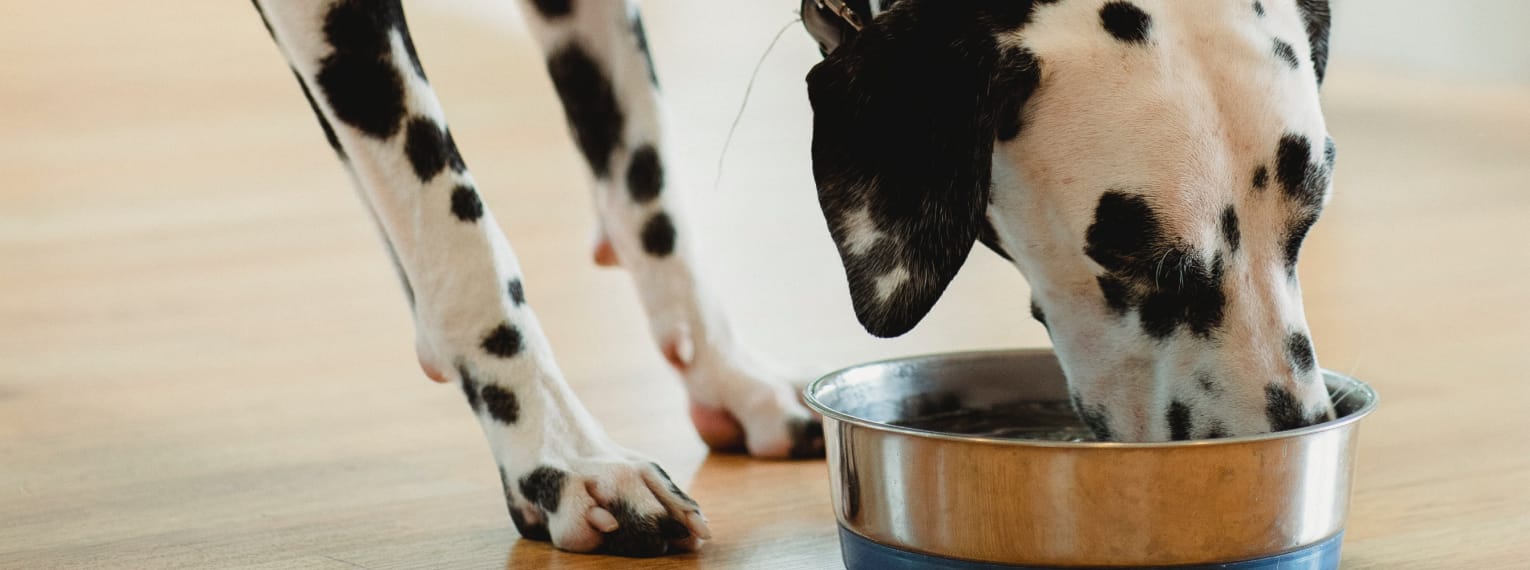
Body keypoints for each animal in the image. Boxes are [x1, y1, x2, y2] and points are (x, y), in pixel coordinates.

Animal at [253, 0, 1340, 556]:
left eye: (1308, 218)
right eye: (1134, 255)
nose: (1284, 437)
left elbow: (651, 177)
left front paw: (722, 373)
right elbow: (459, 231)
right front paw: (563, 458)